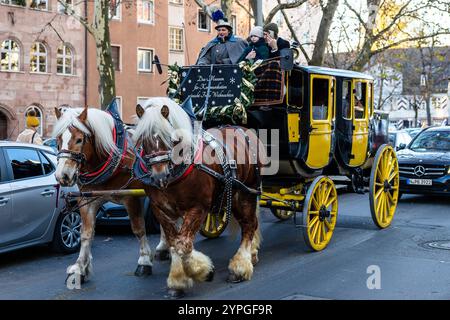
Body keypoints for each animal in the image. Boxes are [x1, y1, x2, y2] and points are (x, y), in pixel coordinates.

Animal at [52, 105, 171, 288]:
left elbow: (138, 229)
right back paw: (164, 247)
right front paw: (79, 269)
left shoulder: (131, 198)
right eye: (58, 139)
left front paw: (144, 261)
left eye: (79, 140)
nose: (62, 176)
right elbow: (86, 233)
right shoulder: (87, 199)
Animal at [132, 97, 262, 298]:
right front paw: (178, 280)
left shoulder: (197, 208)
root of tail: (243, 129)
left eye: (170, 138)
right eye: (143, 140)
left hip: (245, 192)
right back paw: (251, 255)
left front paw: (203, 271)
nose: (160, 176)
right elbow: (174, 242)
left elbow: (183, 244)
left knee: (249, 225)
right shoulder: (161, 209)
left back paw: (239, 267)